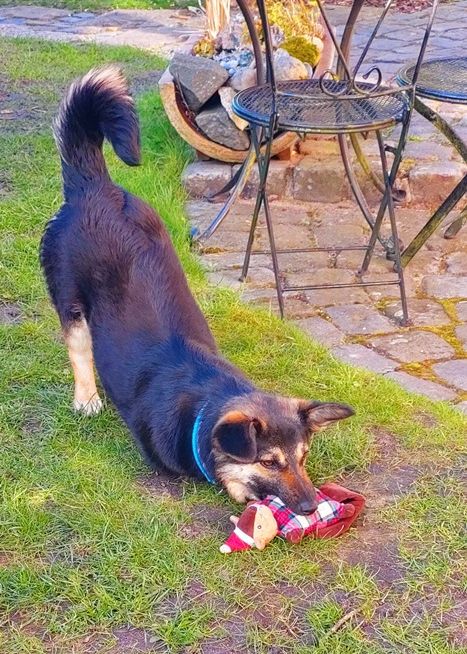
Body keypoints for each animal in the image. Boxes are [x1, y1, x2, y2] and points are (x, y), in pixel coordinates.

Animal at [40, 67, 354, 514]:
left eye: (304, 457)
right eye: (269, 462)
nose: (312, 507)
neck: (207, 401)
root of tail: (94, 187)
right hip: (70, 300)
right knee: (79, 350)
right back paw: (86, 399)